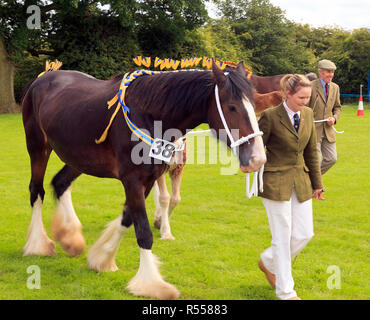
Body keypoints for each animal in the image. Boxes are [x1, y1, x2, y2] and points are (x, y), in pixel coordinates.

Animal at [21, 61, 266, 298]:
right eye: (232, 106)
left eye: (254, 105)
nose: (257, 158)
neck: (149, 115)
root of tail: (41, 79)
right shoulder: (132, 180)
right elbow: (144, 232)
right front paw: (152, 284)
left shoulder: (148, 180)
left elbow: (128, 218)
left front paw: (102, 258)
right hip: (38, 147)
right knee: (37, 191)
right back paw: (38, 244)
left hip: (79, 158)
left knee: (60, 183)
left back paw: (70, 236)